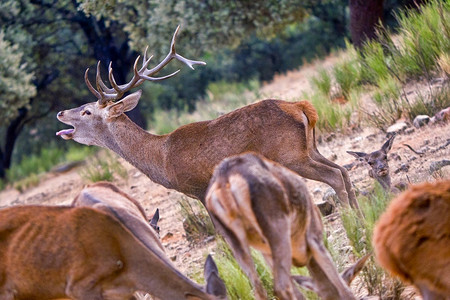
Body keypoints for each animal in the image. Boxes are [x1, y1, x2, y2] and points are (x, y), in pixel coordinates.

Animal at [56, 25, 358, 210]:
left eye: (86, 111)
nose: (60, 112)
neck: (161, 159)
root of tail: (301, 106)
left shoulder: (199, 187)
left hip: (289, 154)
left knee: (333, 175)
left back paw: (350, 219)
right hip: (310, 147)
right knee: (343, 170)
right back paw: (360, 214)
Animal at [206, 152, 368, 300]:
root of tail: (226, 181)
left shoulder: (267, 253)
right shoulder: (315, 239)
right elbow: (340, 285)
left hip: (238, 244)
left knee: (259, 289)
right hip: (278, 232)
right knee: (280, 286)